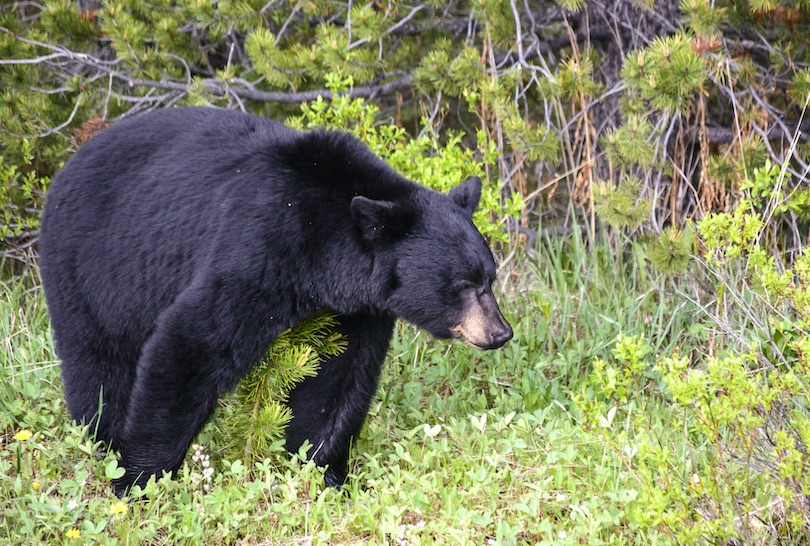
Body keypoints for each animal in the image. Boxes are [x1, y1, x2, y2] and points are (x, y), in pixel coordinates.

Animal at [38, 106, 512, 492]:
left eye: (489, 277)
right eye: (464, 284)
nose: (500, 332)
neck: (321, 251)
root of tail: (65, 168)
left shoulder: (357, 308)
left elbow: (338, 381)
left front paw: (322, 475)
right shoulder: (257, 247)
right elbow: (192, 342)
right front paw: (138, 479)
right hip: (90, 268)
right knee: (99, 363)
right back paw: (103, 438)